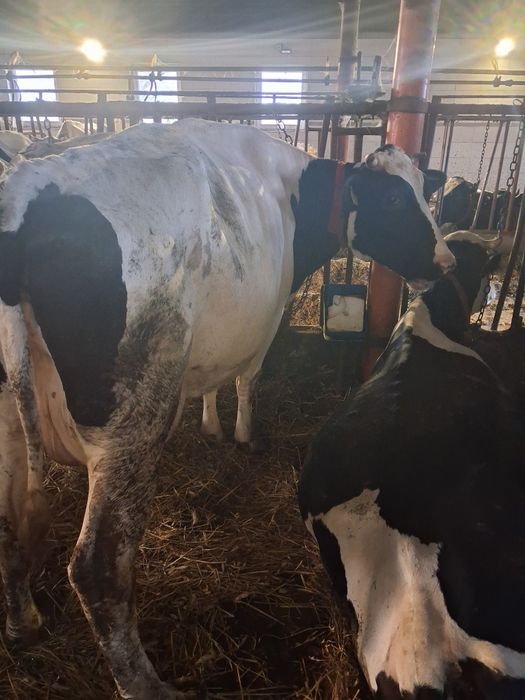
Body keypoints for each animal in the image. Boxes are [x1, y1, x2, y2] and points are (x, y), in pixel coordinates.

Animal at [0, 122, 452, 699]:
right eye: (394, 199)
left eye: (424, 191)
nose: (446, 263)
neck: (288, 189)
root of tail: (26, 190)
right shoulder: (267, 318)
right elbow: (246, 378)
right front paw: (243, 434)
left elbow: (213, 381)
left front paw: (212, 426)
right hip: (132, 423)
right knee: (97, 568)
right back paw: (146, 684)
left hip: (11, 419)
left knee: (9, 522)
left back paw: (24, 623)